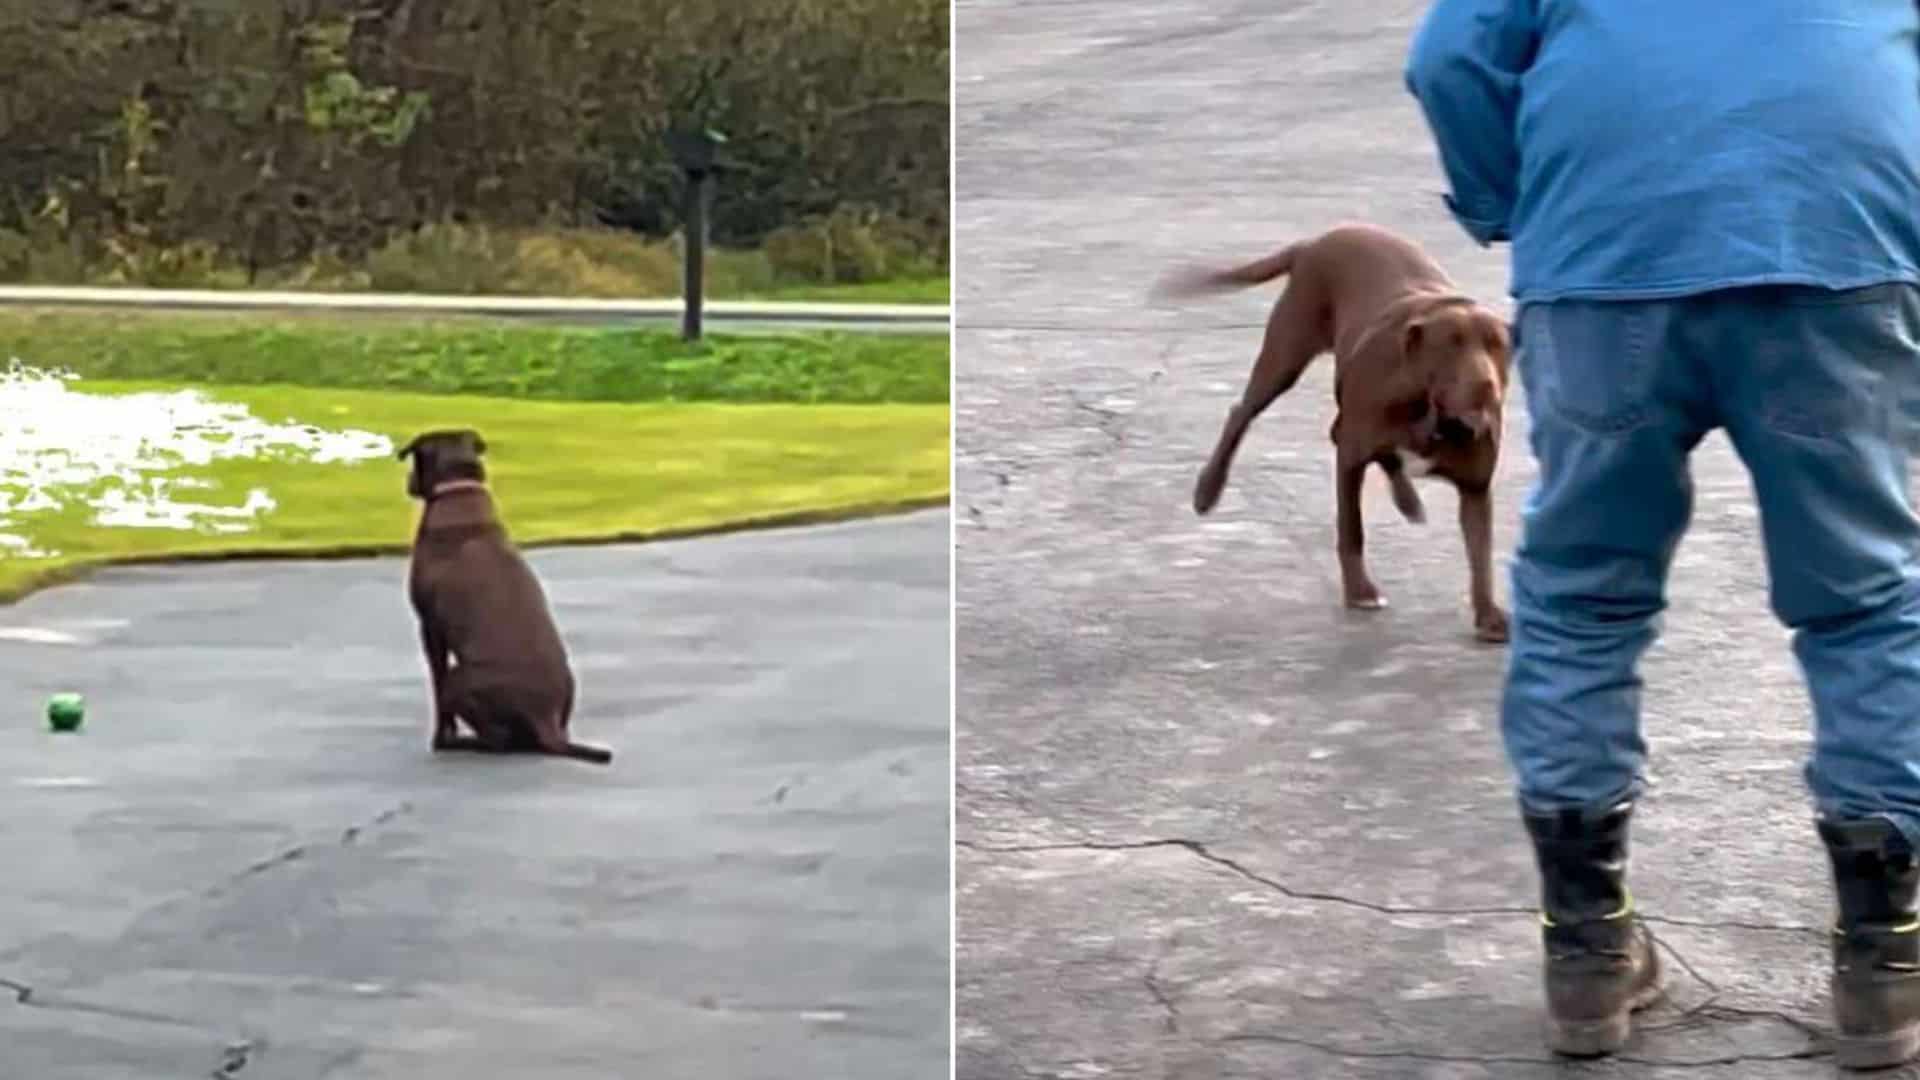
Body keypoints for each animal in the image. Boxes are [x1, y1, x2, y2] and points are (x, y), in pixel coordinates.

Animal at [397, 424, 614, 760]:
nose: (407, 481)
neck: (458, 488)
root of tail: (545, 719)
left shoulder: (430, 627)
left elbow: (437, 682)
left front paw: (442, 736)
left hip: (460, 678)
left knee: (497, 740)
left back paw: (463, 742)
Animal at [1152, 220, 1512, 638]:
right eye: (1451, 345)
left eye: (1497, 346)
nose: (1486, 385)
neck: (1429, 410)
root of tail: (1315, 241)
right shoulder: (1351, 459)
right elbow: (1351, 528)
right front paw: (1360, 591)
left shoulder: (1475, 487)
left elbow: (1480, 555)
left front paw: (1488, 613)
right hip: (1286, 351)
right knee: (1243, 412)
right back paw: (1208, 489)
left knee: (1356, 440)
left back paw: (1408, 500)